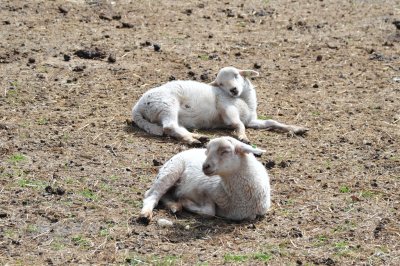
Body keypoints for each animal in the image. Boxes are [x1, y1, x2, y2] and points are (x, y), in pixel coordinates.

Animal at [131, 66, 306, 145]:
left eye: (236, 75)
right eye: (221, 84)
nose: (233, 90)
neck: (244, 100)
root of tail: (137, 107)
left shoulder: (251, 120)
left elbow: (272, 122)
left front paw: (296, 129)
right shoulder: (227, 108)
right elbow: (238, 123)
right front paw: (242, 136)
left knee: (175, 127)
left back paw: (198, 137)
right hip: (166, 105)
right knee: (169, 127)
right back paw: (192, 140)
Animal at [138, 136, 272, 223]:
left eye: (225, 151)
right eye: (207, 151)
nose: (205, 166)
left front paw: (182, 202)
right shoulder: (203, 189)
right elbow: (210, 212)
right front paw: (186, 201)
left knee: (164, 195)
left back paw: (175, 206)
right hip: (170, 171)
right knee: (152, 194)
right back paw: (146, 214)